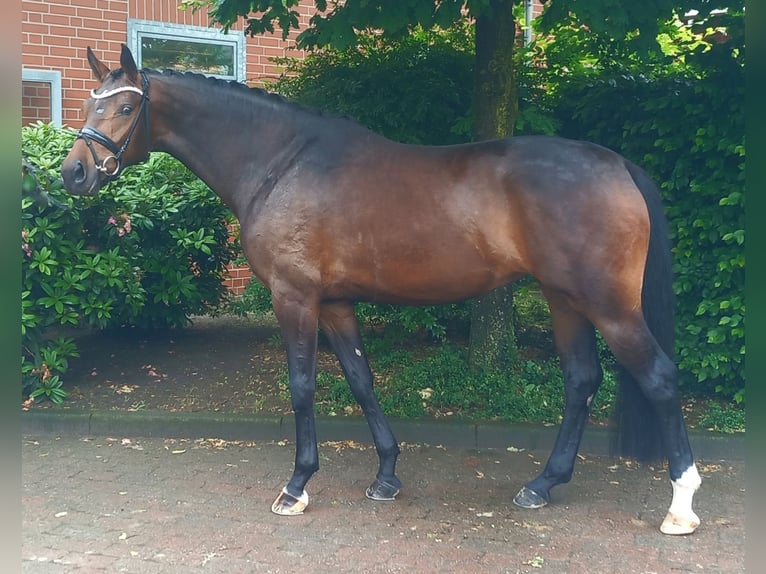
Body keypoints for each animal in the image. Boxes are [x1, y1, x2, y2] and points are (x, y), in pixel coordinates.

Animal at [61, 44, 702, 535]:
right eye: (90, 102)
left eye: (126, 105)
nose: (73, 173)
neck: (280, 163)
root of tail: (617, 164)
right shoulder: (336, 302)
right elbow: (362, 380)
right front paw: (387, 475)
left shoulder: (295, 297)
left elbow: (302, 387)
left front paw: (297, 485)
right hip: (565, 300)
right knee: (582, 381)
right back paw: (542, 485)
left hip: (609, 306)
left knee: (660, 378)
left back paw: (680, 505)